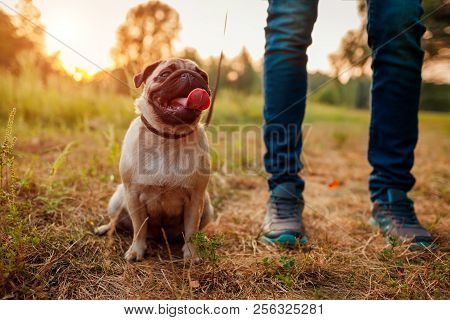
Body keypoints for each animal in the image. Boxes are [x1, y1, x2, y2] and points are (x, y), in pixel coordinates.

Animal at [94, 58, 214, 262]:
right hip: (117, 199)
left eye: (203, 76)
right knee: (116, 221)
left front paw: (191, 255)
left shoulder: (196, 198)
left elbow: (191, 230)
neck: (168, 137)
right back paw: (105, 228)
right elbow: (139, 227)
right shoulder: (133, 195)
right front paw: (136, 250)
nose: (190, 75)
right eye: (165, 74)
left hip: (206, 206)